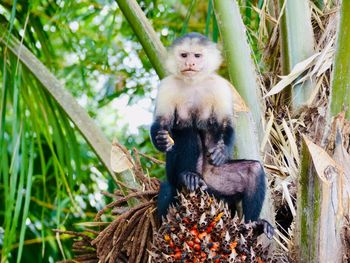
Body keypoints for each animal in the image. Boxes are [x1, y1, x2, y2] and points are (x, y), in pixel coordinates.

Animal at [150, 32, 274, 239]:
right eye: (184, 55)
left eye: (197, 56)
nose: (190, 63)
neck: (194, 82)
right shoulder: (167, 85)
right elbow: (162, 122)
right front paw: (160, 139)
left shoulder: (220, 86)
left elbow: (226, 123)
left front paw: (222, 151)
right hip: (177, 176)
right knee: (186, 132)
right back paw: (188, 176)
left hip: (218, 183)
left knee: (254, 170)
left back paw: (254, 225)